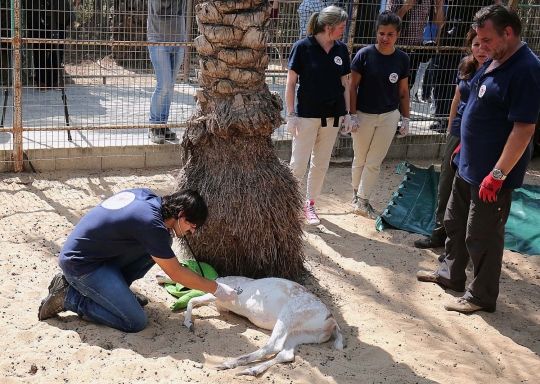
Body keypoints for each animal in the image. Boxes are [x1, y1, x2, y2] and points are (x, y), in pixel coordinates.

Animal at [156, 274, 344, 376]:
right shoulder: (220, 305)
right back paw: (249, 370)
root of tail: (331, 320)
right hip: (301, 334)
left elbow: (192, 300)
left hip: (288, 316)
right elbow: (194, 301)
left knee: (273, 346)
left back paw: (228, 363)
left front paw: (188, 323)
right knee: (287, 354)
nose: (157, 275)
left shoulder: (218, 296)